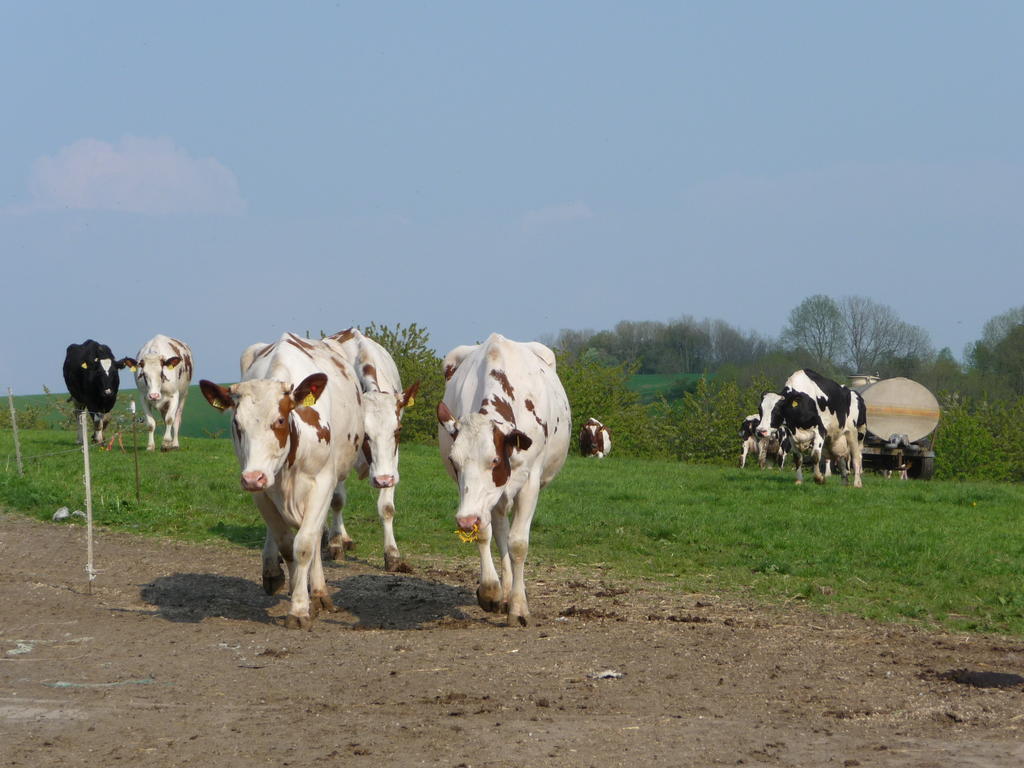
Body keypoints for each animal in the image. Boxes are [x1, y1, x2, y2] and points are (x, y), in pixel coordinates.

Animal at [197, 333, 362, 626]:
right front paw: (297, 592)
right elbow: (286, 543)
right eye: (237, 425)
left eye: (281, 420)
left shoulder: (322, 484)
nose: (253, 477)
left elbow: (305, 544)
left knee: (314, 534)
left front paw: (301, 606)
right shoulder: (260, 492)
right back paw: (275, 573)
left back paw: (319, 593)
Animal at [319, 327, 415, 573]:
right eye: (365, 433)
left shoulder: (391, 461)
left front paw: (392, 554)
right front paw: (335, 544)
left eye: (398, 430)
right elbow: (337, 500)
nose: (383, 480)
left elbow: (387, 507)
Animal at [436, 333, 573, 626]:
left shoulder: (530, 481)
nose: (464, 521)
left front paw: (519, 608)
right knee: (499, 531)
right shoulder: (473, 497)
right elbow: (485, 533)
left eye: (495, 461)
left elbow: (518, 543)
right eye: (454, 462)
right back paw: (505, 588)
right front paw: (491, 591)